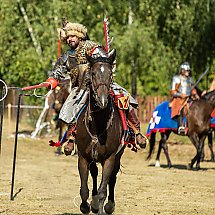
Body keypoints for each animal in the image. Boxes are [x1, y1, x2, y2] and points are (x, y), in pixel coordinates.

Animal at [74, 49, 124, 214]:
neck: (97, 126)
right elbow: (84, 189)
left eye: (110, 74)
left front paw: (102, 206)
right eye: (93, 73)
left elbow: (104, 189)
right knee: (94, 172)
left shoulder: (109, 158)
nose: (102, 100)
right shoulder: (83, 157)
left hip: (117, 156)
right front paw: (85, 206)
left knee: (112, 178)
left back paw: (108, 205)